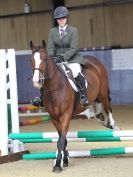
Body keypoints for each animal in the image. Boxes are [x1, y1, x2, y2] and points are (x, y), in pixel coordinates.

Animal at [29, 40, 118, 173]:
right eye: (31, 60)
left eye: (44, 59)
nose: (36, 81)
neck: (55, 88)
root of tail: (94, 60)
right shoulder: (54, 118)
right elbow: (63, 139)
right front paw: (64, 161)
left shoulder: (66, 115)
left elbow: (61, 141)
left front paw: (57, 165)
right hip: (95, 99)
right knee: (98, 115)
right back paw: (106, 123)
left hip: (102, 94)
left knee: (108, 108)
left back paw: (113, 125)